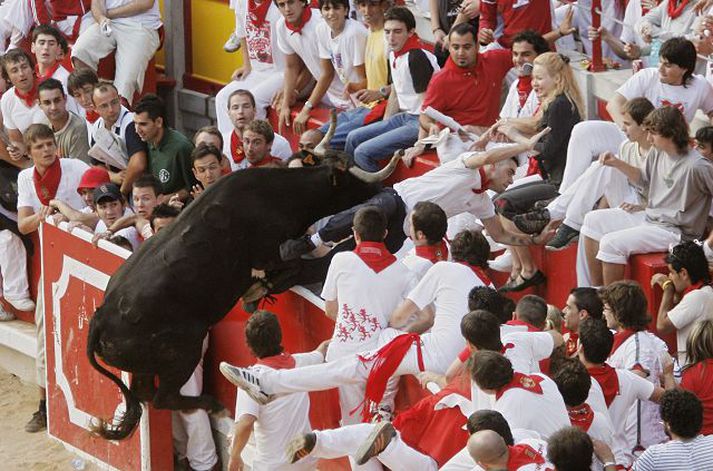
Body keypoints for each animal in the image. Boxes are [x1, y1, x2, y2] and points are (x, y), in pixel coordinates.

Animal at [84, 153, 398, 440]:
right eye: (352, 180)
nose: (382, 189)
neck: (282, 193)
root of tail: (100, 317)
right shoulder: (272, 253)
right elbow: (295, 266)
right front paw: (261, 290)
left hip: (147, 366)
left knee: (146, 394)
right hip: (184, 351)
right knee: (164, 397)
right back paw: (215, 405)